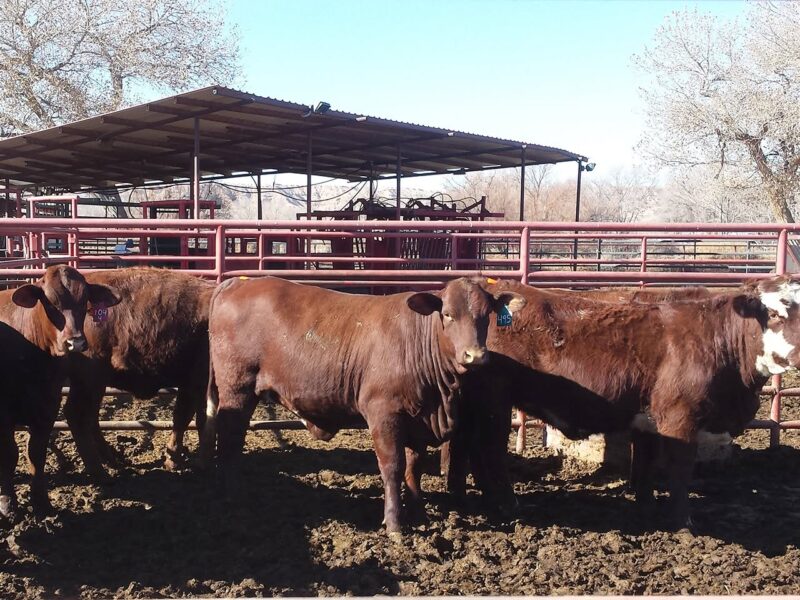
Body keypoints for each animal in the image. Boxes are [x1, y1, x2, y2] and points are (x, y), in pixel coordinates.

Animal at [0, 265, 119, 521]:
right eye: (50, 302)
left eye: (84, 300)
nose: (76, 343)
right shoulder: (3, 415)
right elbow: (9, 454)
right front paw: (8, 503)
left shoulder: (48, 407)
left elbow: (36, 453)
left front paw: (41, 502)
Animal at [63, 268, 215, 475]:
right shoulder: (197, 384)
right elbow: (194, 419)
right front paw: (188, 462)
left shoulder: (192, 386)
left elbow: (188, 419)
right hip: (89, 379)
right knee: (77, 414)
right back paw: (98, 470)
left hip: (94, 383)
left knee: (90, 416)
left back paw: (111, 458)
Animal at [202, 276, 525, 534]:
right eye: (447, 314)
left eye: (487, 315)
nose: (475, 356)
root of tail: (237, 283)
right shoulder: (383, 414)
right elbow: (393, 466)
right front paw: (395, 524)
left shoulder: (417, 418)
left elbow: (414, 467)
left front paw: (419, 514)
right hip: (237, 389)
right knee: (230, 438)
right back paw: (231, 492)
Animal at [436, 276, 800, 529]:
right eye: (775, 314)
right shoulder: (680, 419)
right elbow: (679, 473)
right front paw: (682, 523)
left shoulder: (650, 420)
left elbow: (646, 466)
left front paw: (644, 509)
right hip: (495, 401)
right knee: (489, 449)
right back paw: (506, 503)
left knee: (468, 446)